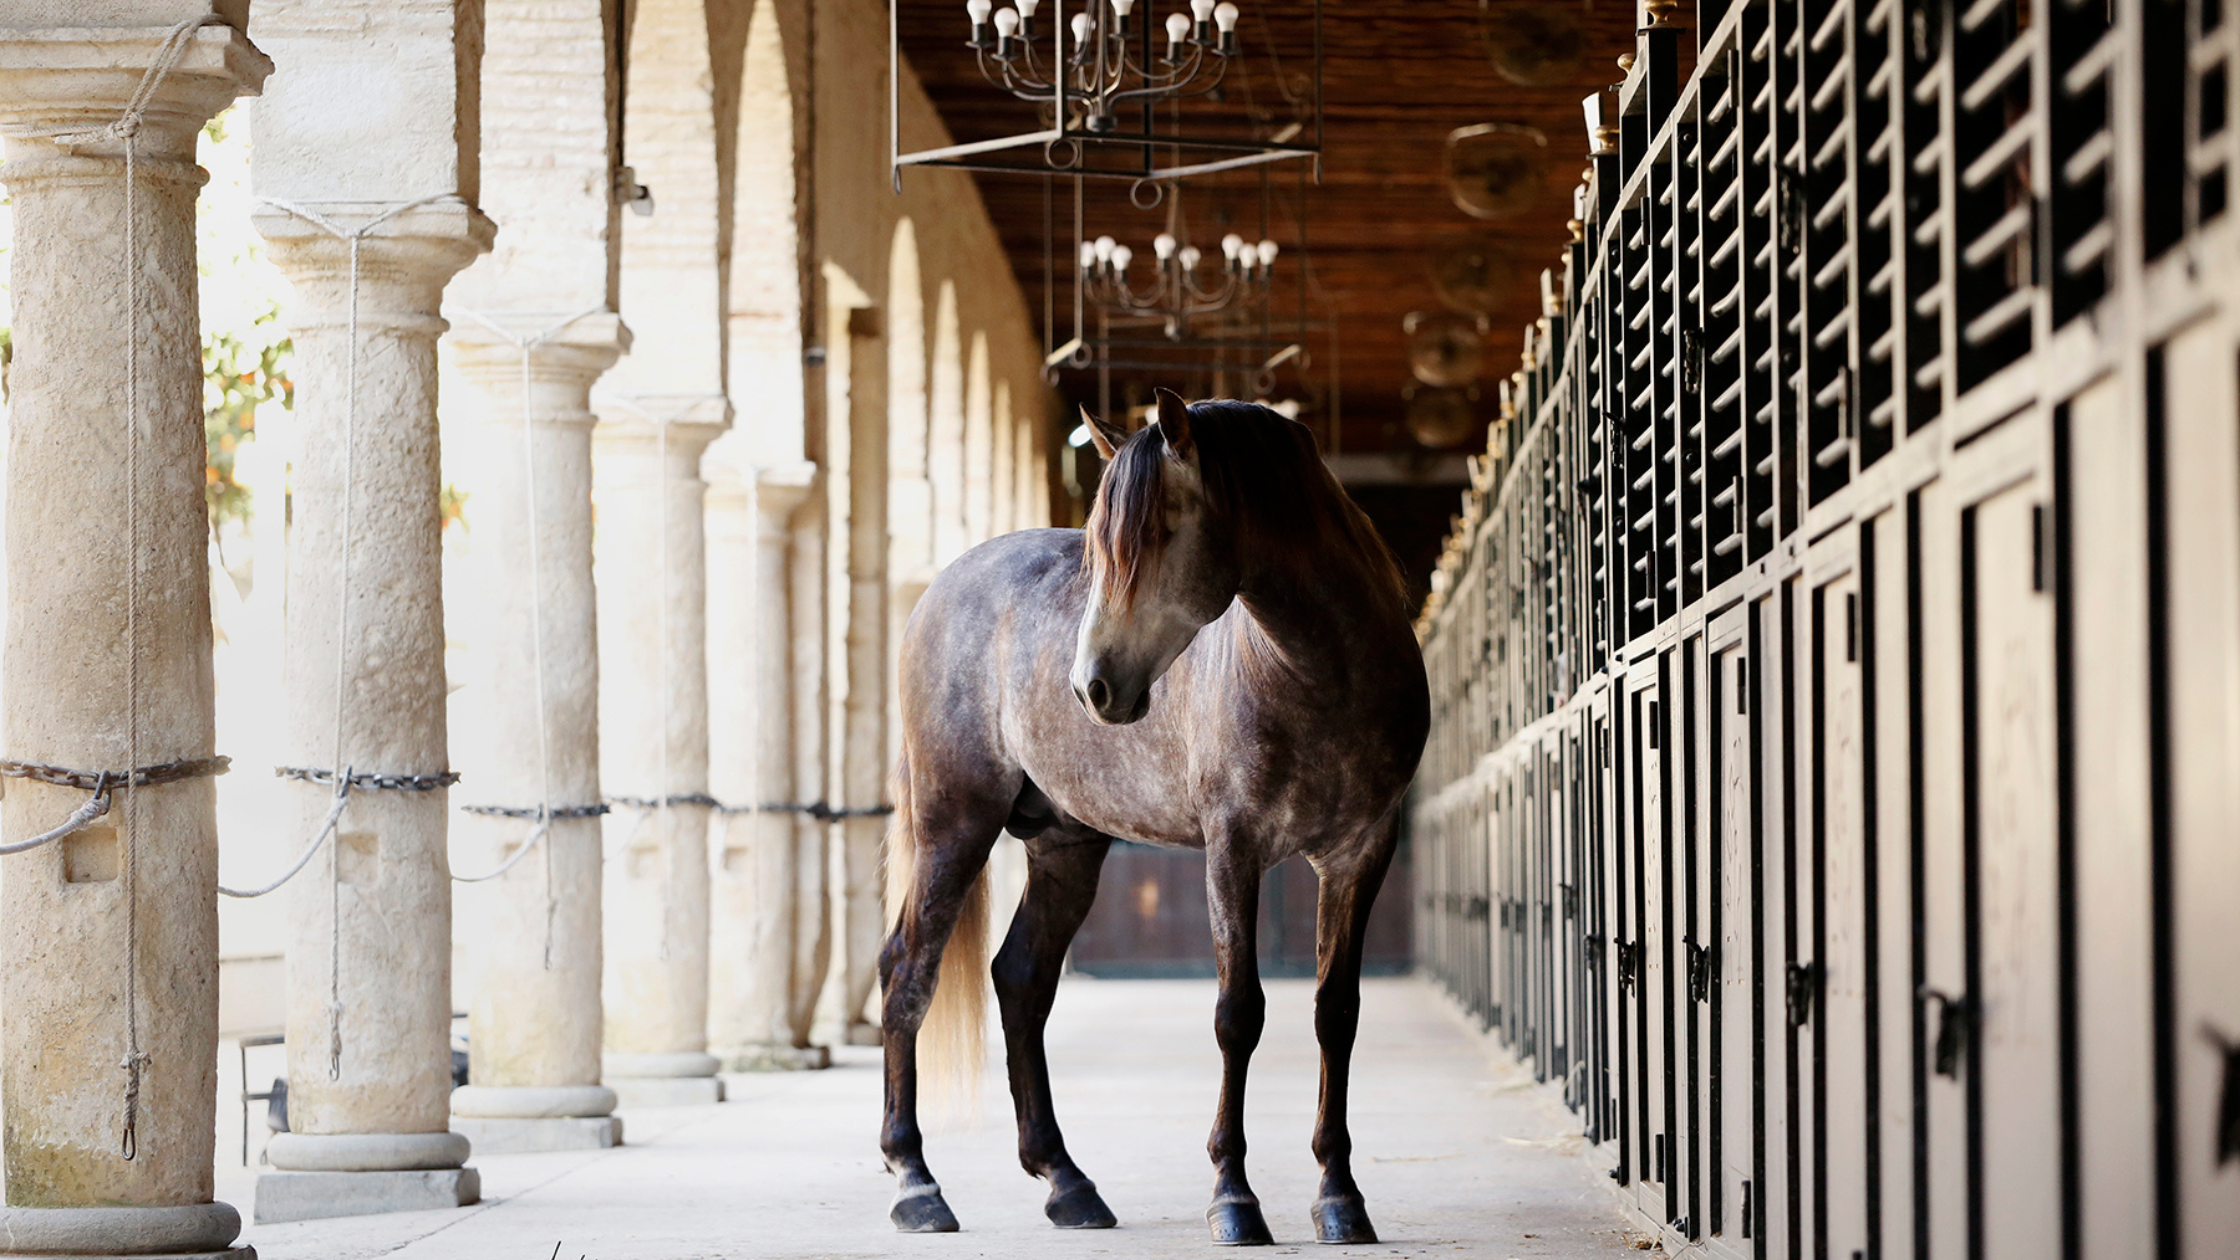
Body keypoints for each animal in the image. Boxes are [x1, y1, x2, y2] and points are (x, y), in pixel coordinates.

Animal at [877, 389, 1430, 1246]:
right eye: (1103, 545)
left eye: (1160, 526)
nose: (1092, 687)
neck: (1317, 673)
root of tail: (937, 591)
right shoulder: (1232, 847)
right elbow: (1238, 1014)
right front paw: (1234, 1201)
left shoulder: (1360, 853)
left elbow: (1335, 1013)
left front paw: (1341, 1198)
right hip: (954, 824)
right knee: (908, 969)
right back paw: (916, 1185)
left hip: (1065, 845)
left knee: (1021, 980)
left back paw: (1067, 1185)